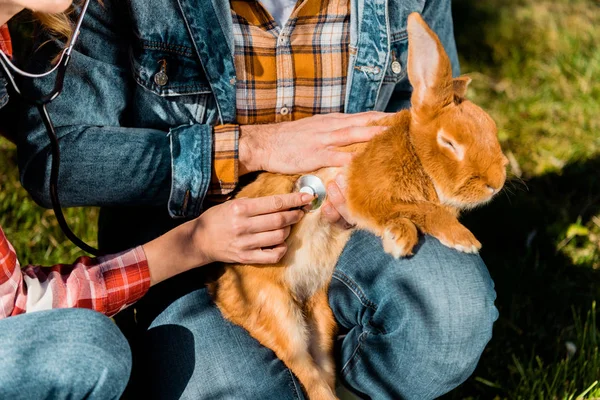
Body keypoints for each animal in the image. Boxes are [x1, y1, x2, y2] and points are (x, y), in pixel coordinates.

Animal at [209, 12, 508, 400]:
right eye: (449, 143)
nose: (495, 183)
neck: (413, 150)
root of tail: (219, 290)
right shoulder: (362, 192)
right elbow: (422, 210)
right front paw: (450, 239)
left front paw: (400, 238)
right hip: (276, 310)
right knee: (306, 372)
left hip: (319, 319)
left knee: (322, 367)